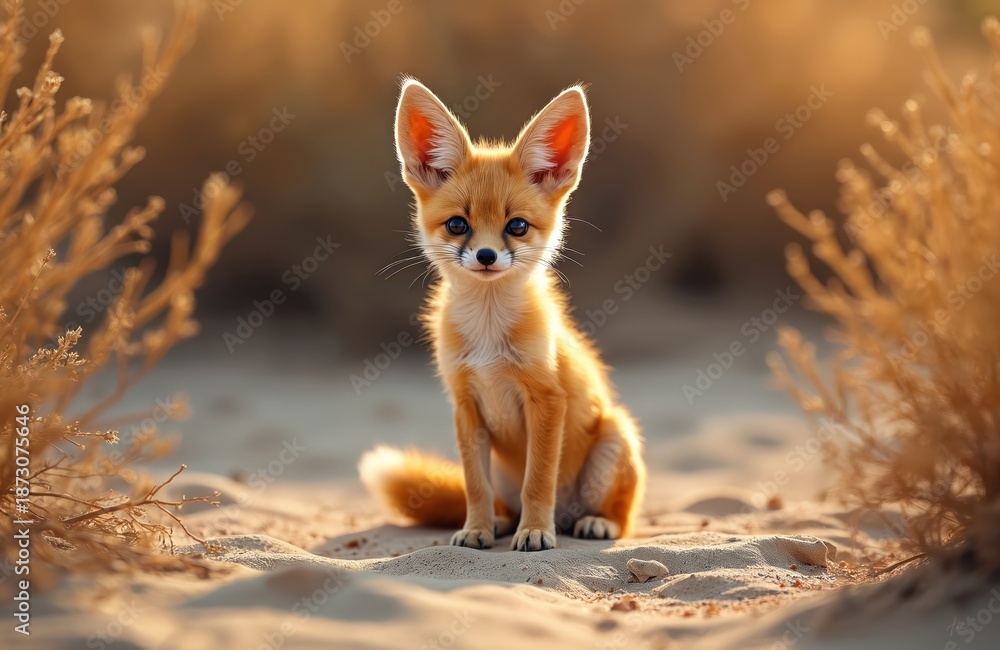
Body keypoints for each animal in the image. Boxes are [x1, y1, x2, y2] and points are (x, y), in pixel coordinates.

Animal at [359, 79, 646, 552]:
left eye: (517, 226)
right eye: (458, 225)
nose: (487, 256)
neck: (489, 340)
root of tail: (568, 514)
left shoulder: (547, 400)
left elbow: (539, 481)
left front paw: (535, 532)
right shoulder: (465, 404)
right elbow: (475, 486)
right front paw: (477, 529)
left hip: (615, 436)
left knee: (622, 516)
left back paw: (590, 522)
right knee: (502, 504)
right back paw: (502, 522)